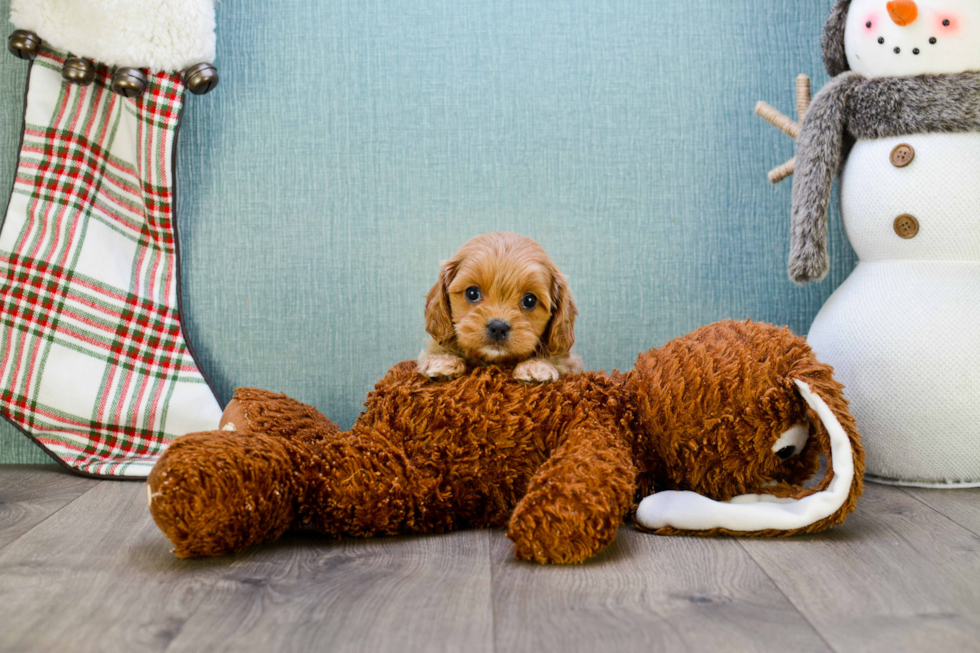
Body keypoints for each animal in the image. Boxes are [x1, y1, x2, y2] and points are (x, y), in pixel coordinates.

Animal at [416, 232, 580, 382]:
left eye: (530, 300)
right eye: (472, 293)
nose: (498, 327)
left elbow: (558, 358)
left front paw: (537, 365)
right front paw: (442, 360)